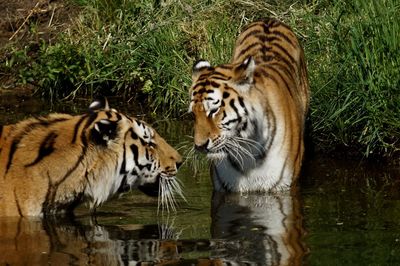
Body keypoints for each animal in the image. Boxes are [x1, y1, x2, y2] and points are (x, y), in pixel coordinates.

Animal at [188, 19, 310, 193]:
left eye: (214, 110)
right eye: (193, 114)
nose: (200, 146)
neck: (246, 150)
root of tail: (268, 19)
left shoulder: (284, 186)